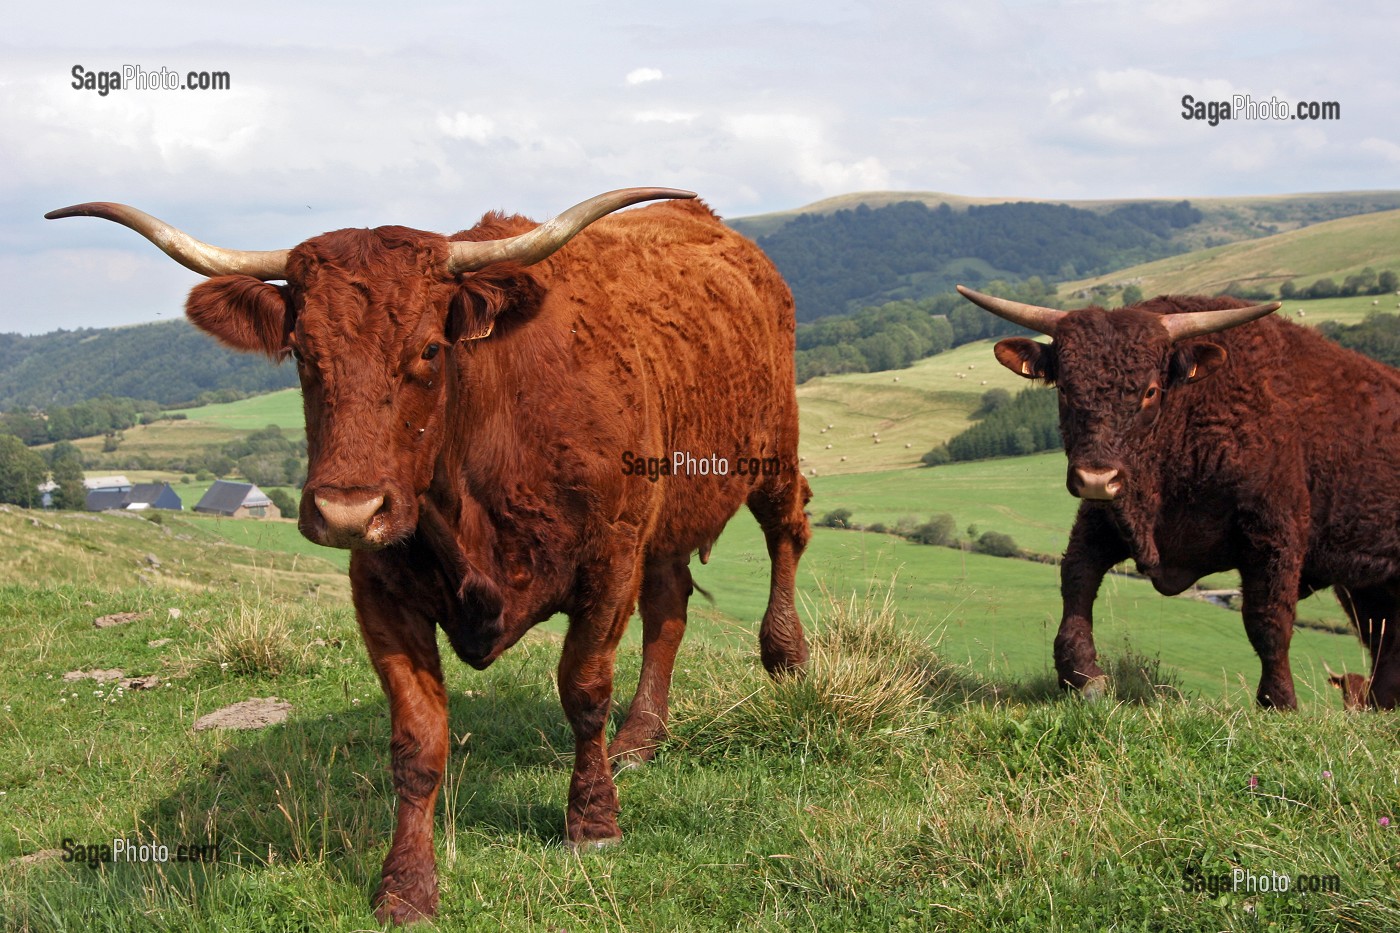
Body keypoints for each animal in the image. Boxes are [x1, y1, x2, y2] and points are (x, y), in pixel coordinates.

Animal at [47, 190, 812, 923]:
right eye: (302, 353)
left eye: (428, 350)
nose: (348, 511)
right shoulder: (381, 590)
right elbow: (417, 742)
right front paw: (407, 884)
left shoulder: (610, 556)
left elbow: (585, 691)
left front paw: (593, 821)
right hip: (668, 517)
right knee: (670, 604)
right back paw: (643, 736)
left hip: (771, 449)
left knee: (787, 533)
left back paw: (786, 658)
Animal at [956, 285, 1400, 712]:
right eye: (1065, 388)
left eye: (1150, 391)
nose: (1096, 478)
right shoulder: (1105, 517)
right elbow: (1077, 580)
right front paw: (1081, 674)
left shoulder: (1275, 532)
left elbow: (1268, 620)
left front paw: (1279, 702)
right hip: (1367, 585)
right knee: (1384, 639)